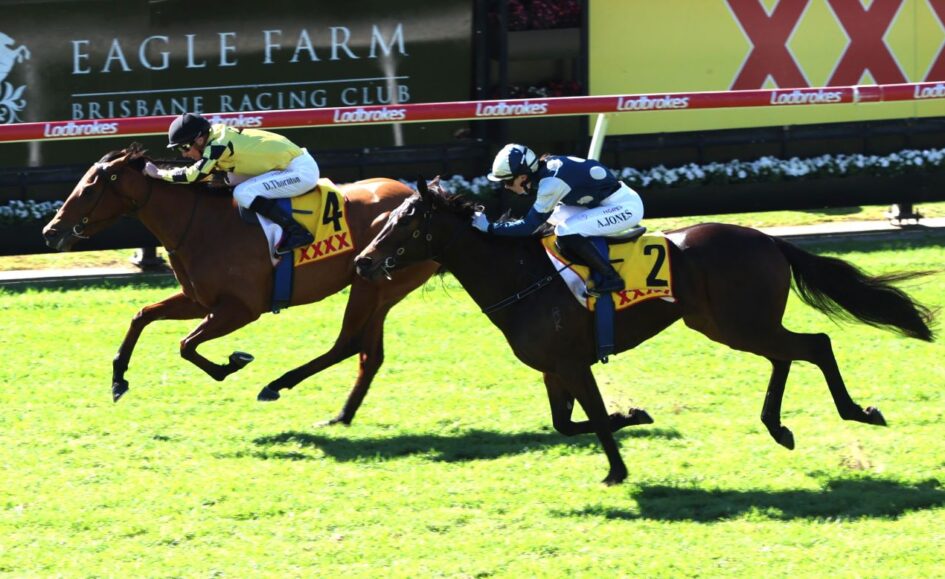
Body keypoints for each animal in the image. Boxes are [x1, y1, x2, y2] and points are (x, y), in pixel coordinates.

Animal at [42, 144, 438, 424]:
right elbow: (143, 316)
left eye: (89, 189)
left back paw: (277, 386)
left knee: (348, 344)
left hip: (372, 285)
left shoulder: (241, 309)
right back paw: (341, 416)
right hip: (380, 289)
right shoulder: (199, 301)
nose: (50, 231)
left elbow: (186, 345)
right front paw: (118, 380)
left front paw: (232, 362)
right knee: (369, 355)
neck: (200, 223)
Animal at [353, 178, 936, 484]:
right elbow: (566, 425)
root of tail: (768, 239)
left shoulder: (573, 362)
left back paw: (857, 412)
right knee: (788, 354)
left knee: (814, 345)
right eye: (386, 220)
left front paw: (617, 468)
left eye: (404, 224)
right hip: (728, 324)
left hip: (739, 322)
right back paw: (778, 426)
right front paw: (635, 414)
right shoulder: (552, 368)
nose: (362, 261)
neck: (521, 276)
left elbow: (592, 420)